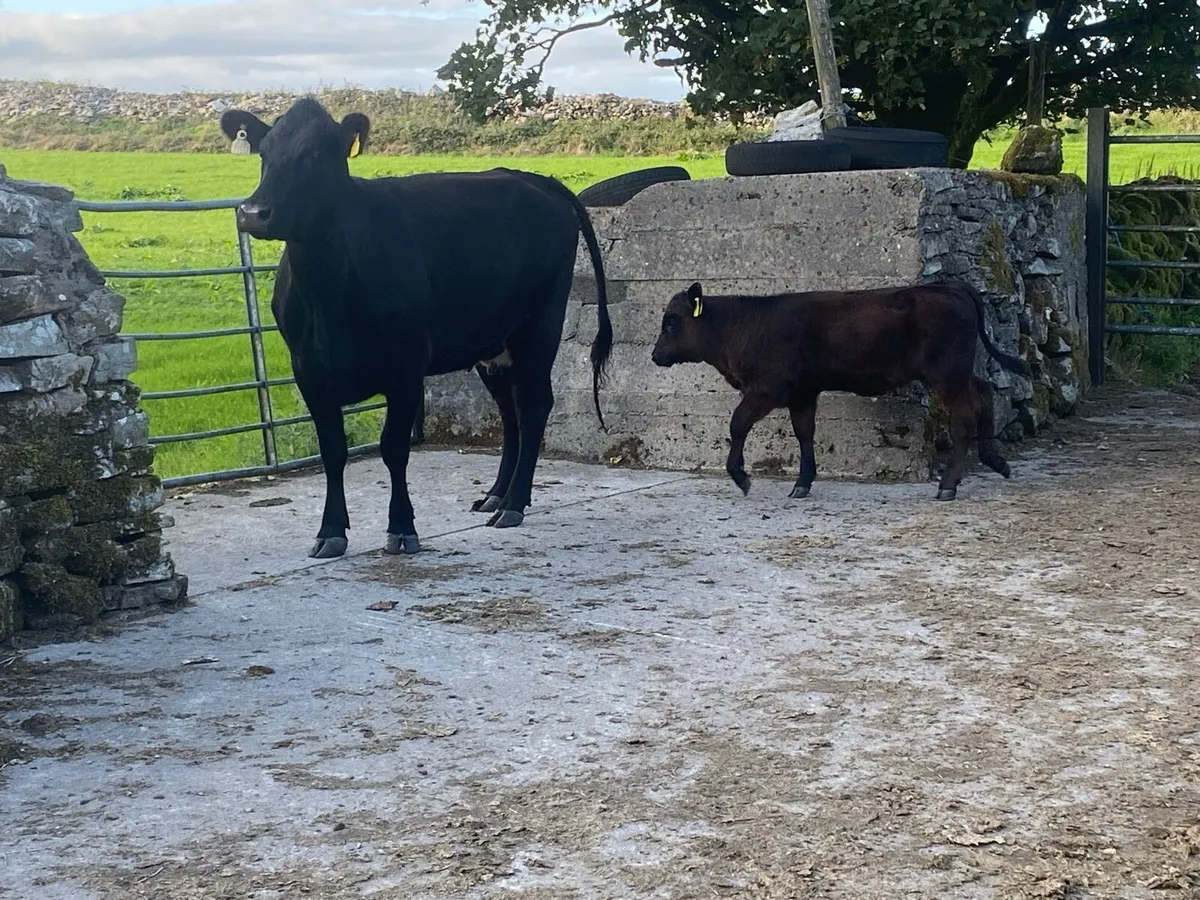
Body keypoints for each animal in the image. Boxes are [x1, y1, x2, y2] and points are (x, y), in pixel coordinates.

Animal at [220, 98, 612, 559]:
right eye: (264, 154)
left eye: (316, 154)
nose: (253, 213)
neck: (330, 294)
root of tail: (534, 179)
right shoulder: (308, 370)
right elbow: (332, 451)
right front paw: (330, 531)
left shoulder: (405, 366)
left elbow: (393, 448)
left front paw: (402, 527)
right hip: (492, 344)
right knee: (509, 410)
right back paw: (496, 494)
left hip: (539, 328)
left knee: (533, 407)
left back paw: (513, 504)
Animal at [650, 280, 1031, 502]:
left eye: (672, 321)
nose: (655, 356)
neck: (743, 325)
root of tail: (947, 286)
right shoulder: (802, 393)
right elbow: (804, 433)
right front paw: (803, 482)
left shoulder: (767, 388)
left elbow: (737, 423)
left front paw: (741, 477)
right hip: (957, 373)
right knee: (984, 391)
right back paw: (995, 461)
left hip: (946, 375)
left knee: (965, 417)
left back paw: (949, 485)